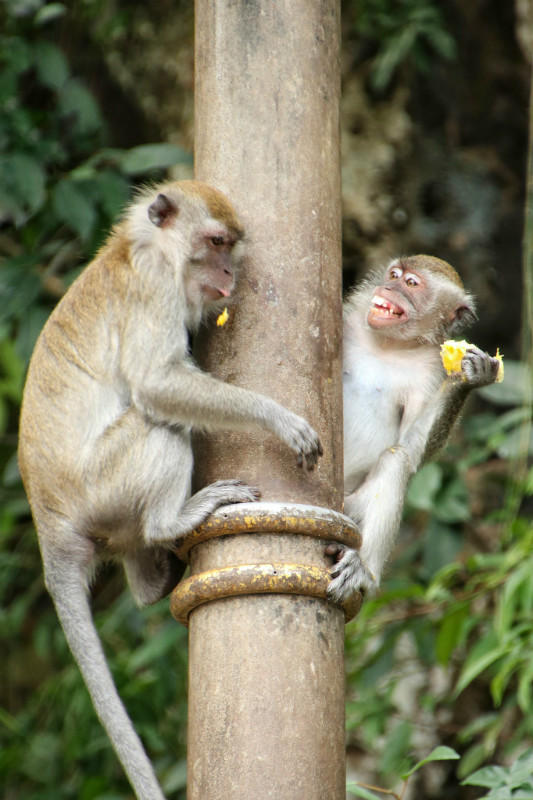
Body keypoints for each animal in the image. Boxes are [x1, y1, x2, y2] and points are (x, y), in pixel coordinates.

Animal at [18, 181, 322, 800]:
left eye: (231, 247)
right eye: (216, 242)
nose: (229, 272)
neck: (140, 245)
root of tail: (48, 522)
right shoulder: (154, 284)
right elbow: (157, 382)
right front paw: (278, 419)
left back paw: (150, 577)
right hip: (101, 483)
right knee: (159, 423)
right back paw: (172, 523)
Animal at [326, 255, 500, 600]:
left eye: (411, 284)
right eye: (393, 275)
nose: (388, 287)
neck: (389, 345)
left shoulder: (428, 370)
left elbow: (412, 448)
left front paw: (468, 379)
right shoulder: (350, 318)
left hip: (352, 508)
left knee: (395, 460)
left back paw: (365, 572)